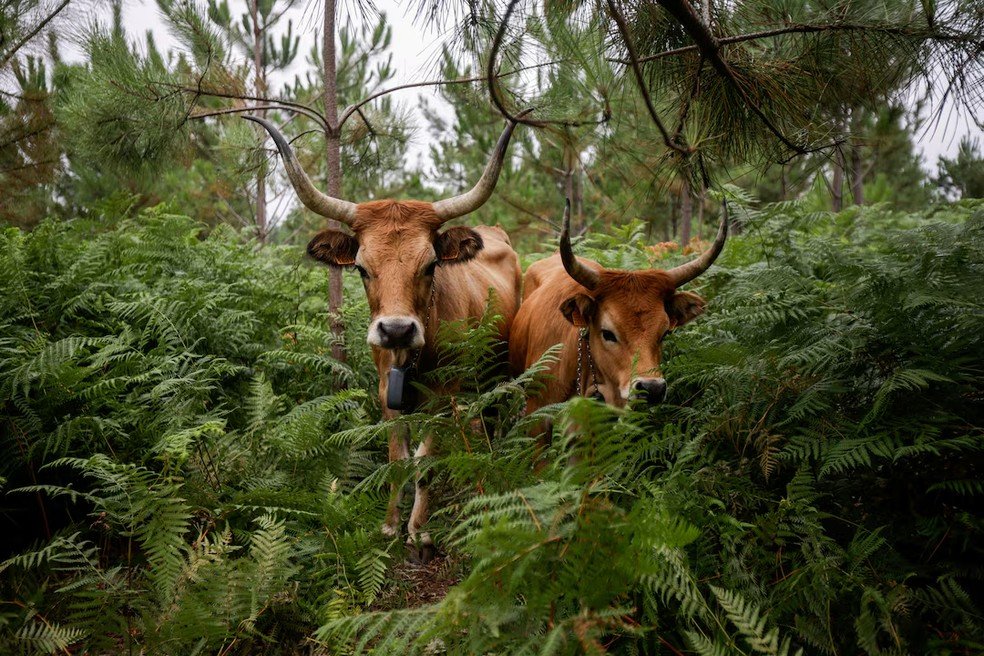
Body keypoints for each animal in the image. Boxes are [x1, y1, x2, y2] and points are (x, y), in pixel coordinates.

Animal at [246, 116, 523, 561]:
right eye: (361, 268)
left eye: (431, 265)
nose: (395, 329)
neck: (410, 360)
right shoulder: (385, 395)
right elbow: (397, 457)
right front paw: (391, 525)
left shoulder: (443, 397)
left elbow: (425, 461)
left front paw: (419, 531)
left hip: (496, 371)